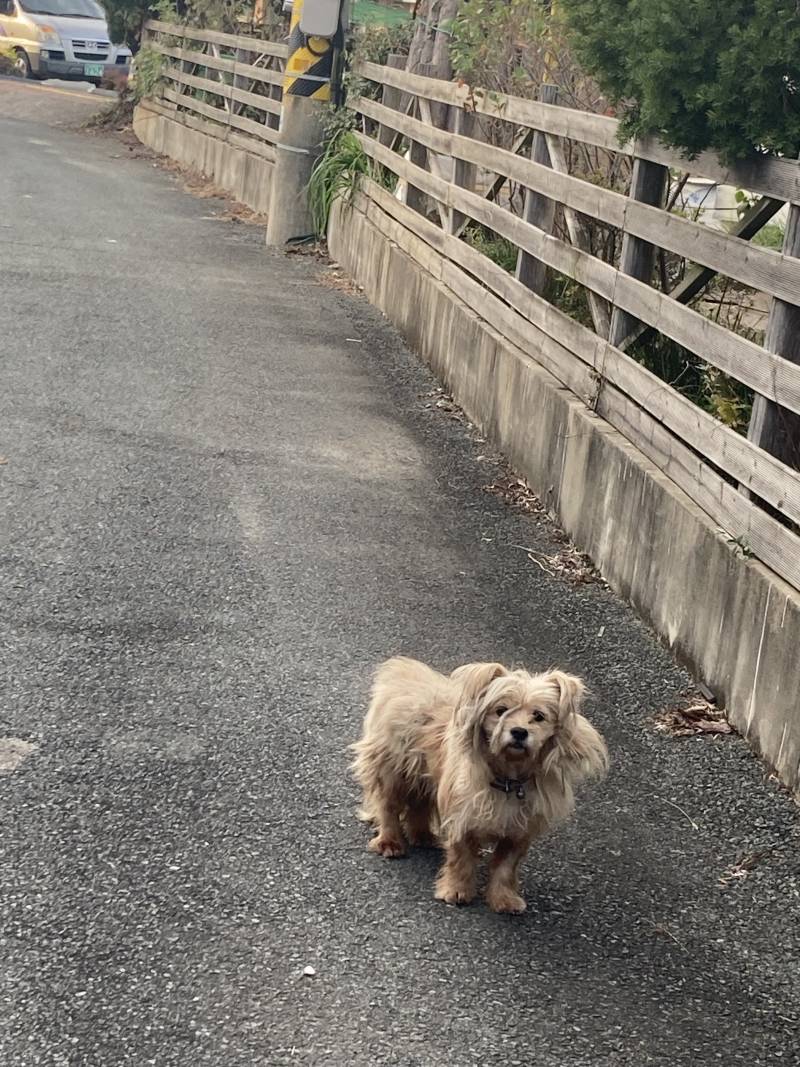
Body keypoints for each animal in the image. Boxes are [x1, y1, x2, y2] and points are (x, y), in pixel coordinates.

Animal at [349, 653, 605, 913]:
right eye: (500, 710)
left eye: (539, 716)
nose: (519, 731)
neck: (508, 778)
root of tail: (402, 670)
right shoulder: (462, 817)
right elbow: (460, 858)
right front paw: (456, 891)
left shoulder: (518, 832)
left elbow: (506, 868)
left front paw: (504, 898)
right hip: (393, 771)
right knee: (388, 806)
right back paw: (390, 842)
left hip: (423, 776)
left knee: (419, 805)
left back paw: (422, 835)